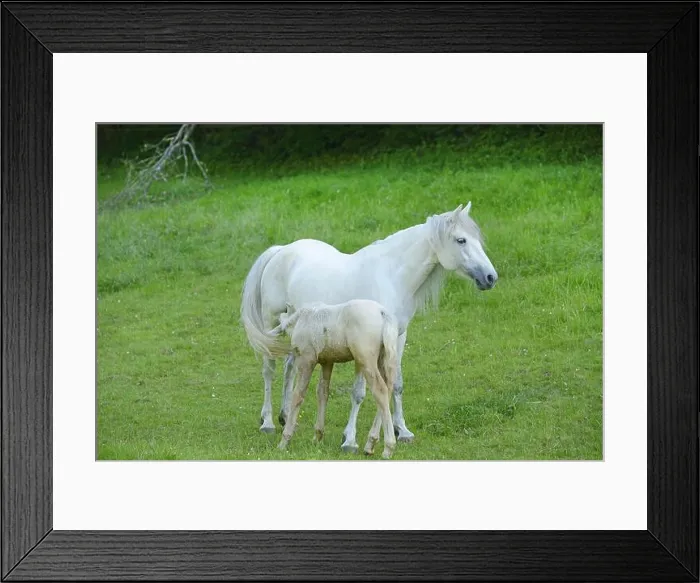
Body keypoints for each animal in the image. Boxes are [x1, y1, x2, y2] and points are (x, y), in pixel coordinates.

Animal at [268, 299, 399, 459]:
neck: (302, 319)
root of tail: (382, 312)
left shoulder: (307, 360)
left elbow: (298, 395)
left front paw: (284, 441)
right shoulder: (327, 362)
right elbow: (322, 393)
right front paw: (317, 437)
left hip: (366, 360)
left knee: (380, 391)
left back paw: (388, 448)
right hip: (384, 359)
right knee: (388, 389)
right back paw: (370, 444)